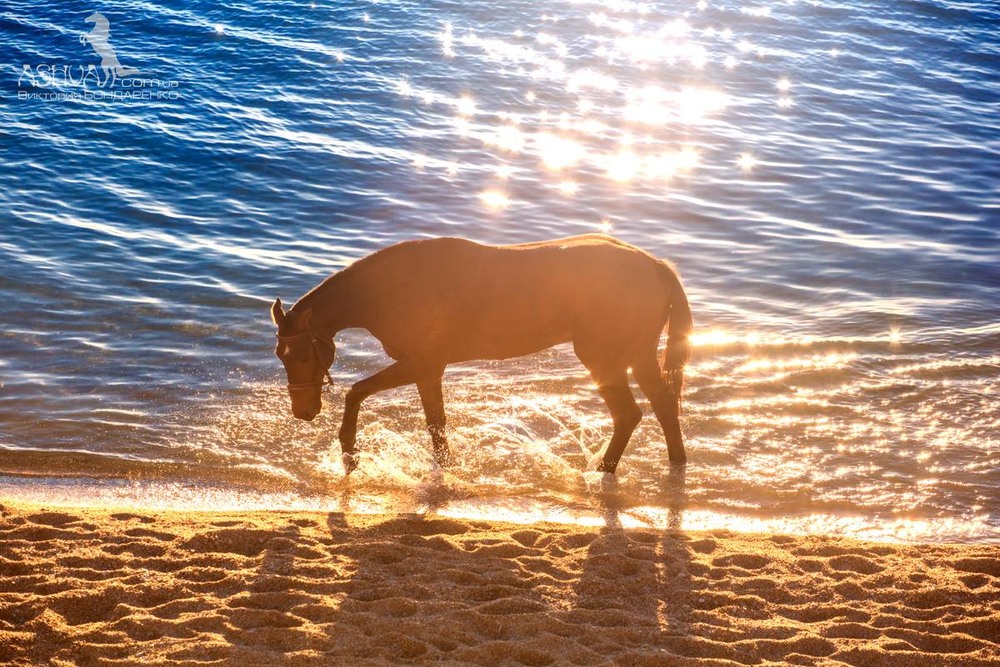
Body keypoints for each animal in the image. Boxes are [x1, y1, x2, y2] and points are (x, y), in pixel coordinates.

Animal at [274, 235, 696, 474]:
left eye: (301, 355)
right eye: (280, 354)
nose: (303, 411)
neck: (392, 287)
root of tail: (657, 268)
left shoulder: (420, 363)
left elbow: (357, 392)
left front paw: (349, 450)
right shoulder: (428, 371)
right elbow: (436, 423)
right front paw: (445, 467)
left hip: (603, 358)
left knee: (629, 414)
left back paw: (603, 471)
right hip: (638, 355)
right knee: (661, 405)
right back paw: (675, 464)